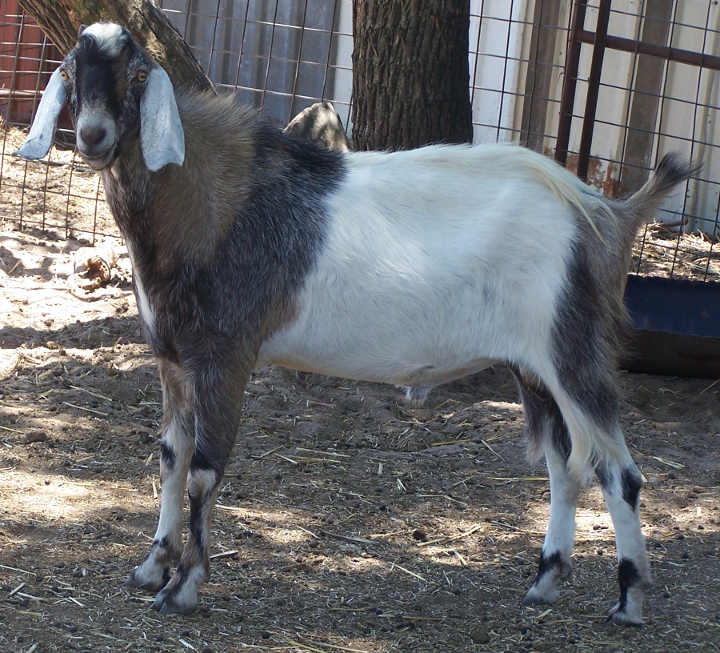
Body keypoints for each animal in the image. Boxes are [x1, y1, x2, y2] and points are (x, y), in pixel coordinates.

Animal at [15, 21, 692, 620]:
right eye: (71, 72)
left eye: (136, 75)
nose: (93, 135)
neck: (209, 203)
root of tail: (600, 214)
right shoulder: (174, 359)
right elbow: (170, 456)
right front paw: (152, 565)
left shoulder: (226, 357)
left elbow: (204, 470)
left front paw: (182, 588)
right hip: (533, 368)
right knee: (564, 466)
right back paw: (545, 582)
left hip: (571, 352)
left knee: (618, 472)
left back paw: (630, 601)